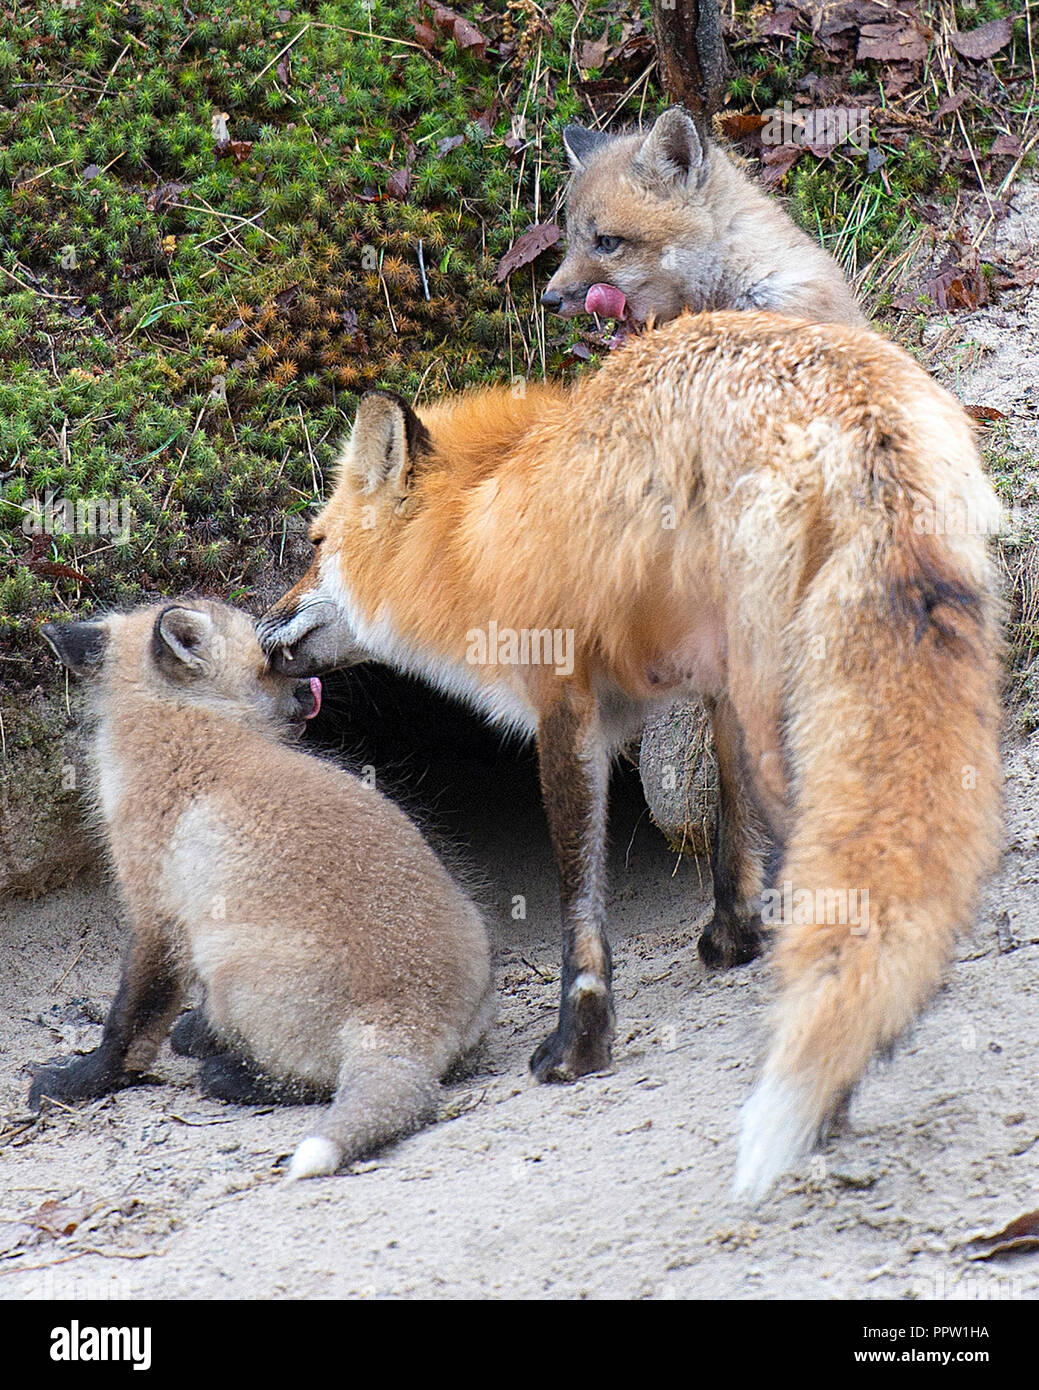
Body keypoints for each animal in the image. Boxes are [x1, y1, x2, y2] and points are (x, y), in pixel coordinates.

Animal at [29, 599, 494, 1181]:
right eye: (271, 658)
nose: (315, 687)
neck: (179, 720)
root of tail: (410, 1015)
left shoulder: (156, 914)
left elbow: (128, 1023)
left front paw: (80, 1081)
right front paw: (189, 1033)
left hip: (232, 964)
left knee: (304, 1079)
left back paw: (229, 1073)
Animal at [256, 311, 1003, 1199]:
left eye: (314, 542)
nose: (261, 629)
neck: (479, 526)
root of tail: (858, 414)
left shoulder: (565, 707)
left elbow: (580, 897)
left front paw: (578, 1043)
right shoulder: (712, 685)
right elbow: (731, 840)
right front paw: (732, 941)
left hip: (785, 706)